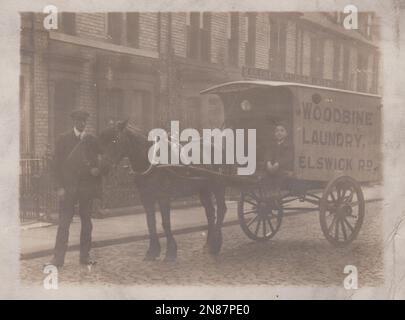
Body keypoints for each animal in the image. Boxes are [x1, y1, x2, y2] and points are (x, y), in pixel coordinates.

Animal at [96, 121, 226, 262]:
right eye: (101, 142)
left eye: (115, 140)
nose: (102, 168)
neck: (151, 161)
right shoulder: (145, 197)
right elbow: (150, 222)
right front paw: (152, 251)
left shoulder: (163, 196)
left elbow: (166, 223)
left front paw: (170, 252)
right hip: (203, 190)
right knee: (210, 213)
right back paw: (209, 245)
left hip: (217, 186)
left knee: (221, 210)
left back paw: (214, 244)